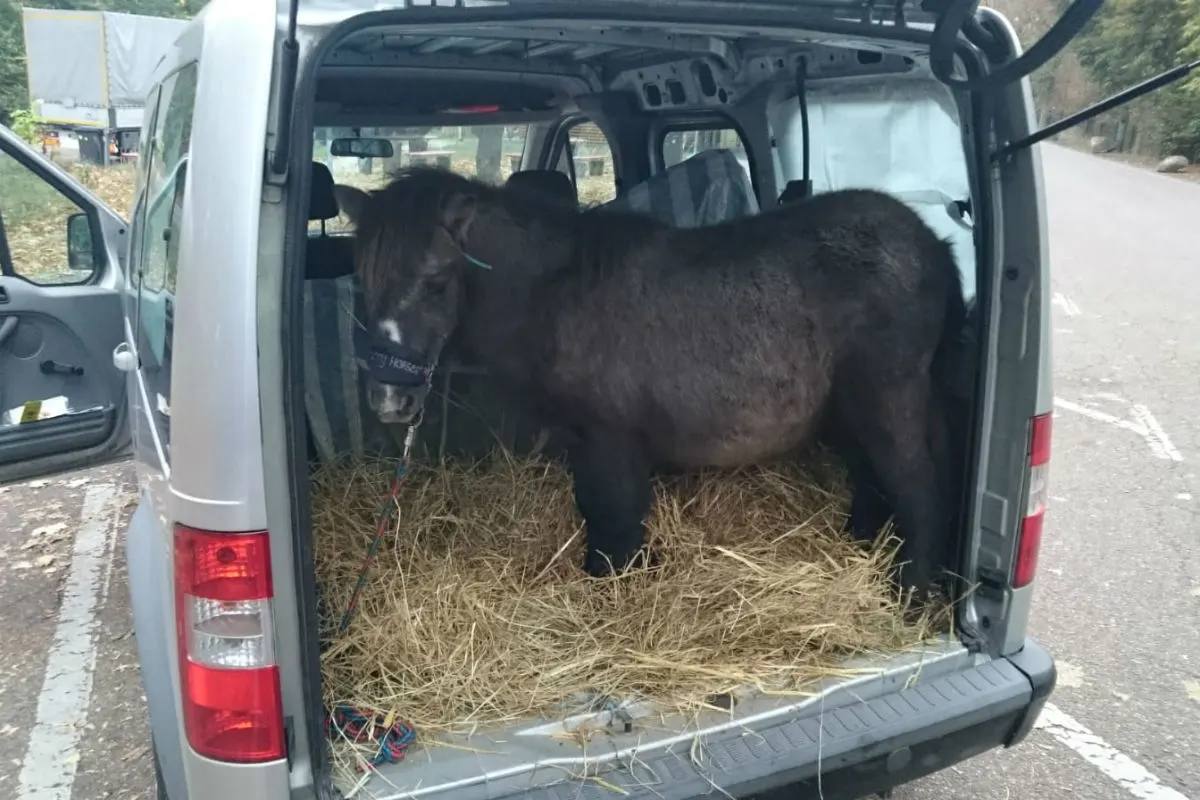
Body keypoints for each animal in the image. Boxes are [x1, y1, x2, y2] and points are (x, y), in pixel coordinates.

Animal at [332, 166, 969, 598]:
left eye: (438, 281)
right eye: (362, 280)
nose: (389, 399)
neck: (560, 288)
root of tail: (932, 244)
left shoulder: (608, 438)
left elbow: (609, 511)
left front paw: (610, 582)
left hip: (886, 399)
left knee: (917, 485)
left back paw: (909, 591)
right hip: (848, 409)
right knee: (870, 476)